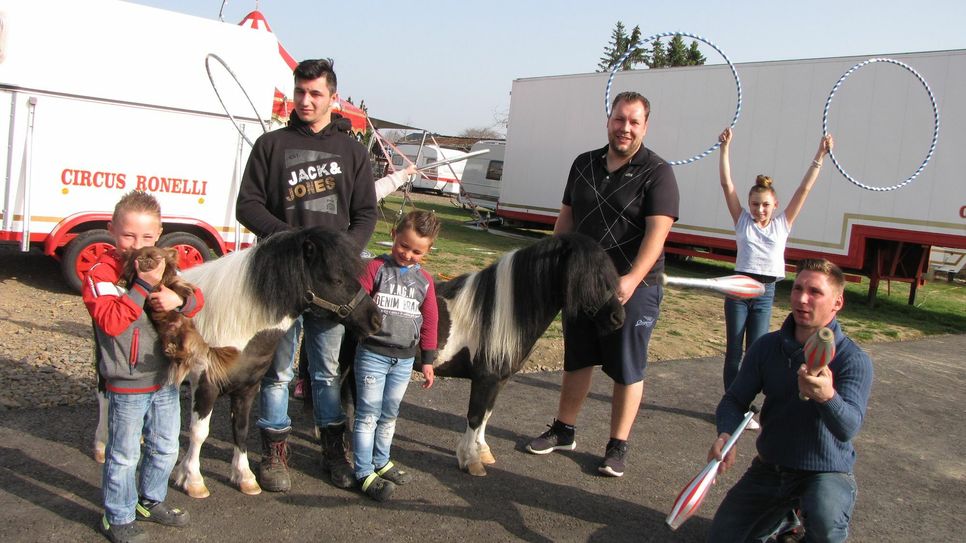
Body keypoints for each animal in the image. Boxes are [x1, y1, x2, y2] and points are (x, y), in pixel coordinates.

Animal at [93, 227, 382, 500]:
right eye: (336, 279)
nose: (376, 319)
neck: (238, 322)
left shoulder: (248, 387)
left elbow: (241, 430)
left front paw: (245, 477)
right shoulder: (206, 386)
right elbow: (199, 432)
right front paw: (192, 479)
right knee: (105, 397)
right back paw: (101, 445)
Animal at [432, 234, 628, 476]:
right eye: (586, 275)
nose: (618, 318)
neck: (493, 316)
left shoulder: (498, 381)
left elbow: (487, 414)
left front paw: (483, 451)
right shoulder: (484, 379)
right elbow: (475, 417)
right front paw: (471, 460)